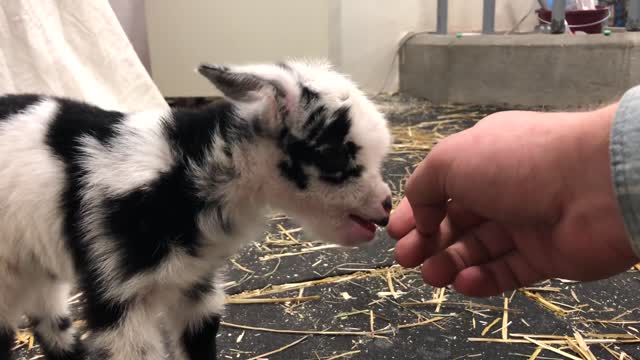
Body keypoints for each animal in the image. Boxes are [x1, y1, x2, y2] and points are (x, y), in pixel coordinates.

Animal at [0, 60, 390, 358]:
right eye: (335, 156)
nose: (386, 207)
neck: (185, 167)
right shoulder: (118, 293)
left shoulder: (196, 287)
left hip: (35, 263)